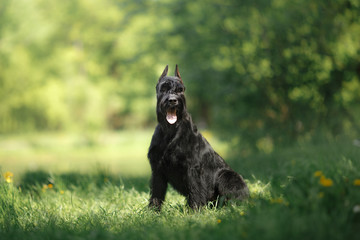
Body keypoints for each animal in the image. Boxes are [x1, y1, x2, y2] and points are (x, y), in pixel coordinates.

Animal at [148, 64, 249, 210]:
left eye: (180, 90)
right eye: (164, 88)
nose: (173, 100)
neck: (170, 132)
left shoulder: (192, 168)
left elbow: (195, 190)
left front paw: (195, 210)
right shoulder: (157, 170)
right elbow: (156, 193)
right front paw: (153, 211)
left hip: (227, 176)